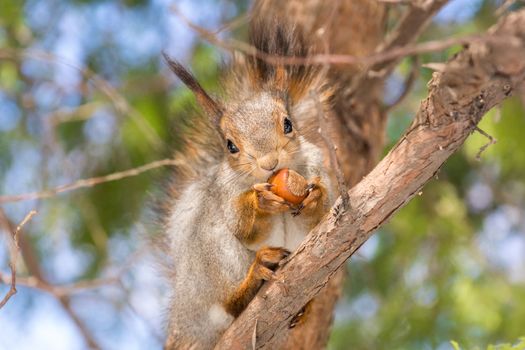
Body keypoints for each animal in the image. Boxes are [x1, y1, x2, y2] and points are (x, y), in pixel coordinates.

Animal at [158, 17, 334, 350]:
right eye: (230, 146)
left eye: (288, 124)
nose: (269, 163)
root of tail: (184, 325)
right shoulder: (225, 192)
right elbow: (242, 225)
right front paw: (260, 202)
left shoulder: (318, 164)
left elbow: (321, 216)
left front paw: (316, 197)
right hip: (214, 257)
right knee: (228, 303)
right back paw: (253, 279)